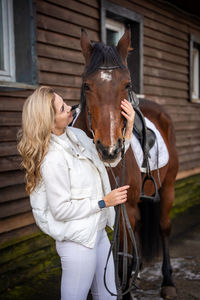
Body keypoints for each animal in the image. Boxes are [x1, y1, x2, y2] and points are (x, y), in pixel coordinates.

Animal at [73, 28, 178, 300]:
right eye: (86, 85)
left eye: (127, 85)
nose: (109, 150)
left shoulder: (124, 208)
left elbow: (122, 253)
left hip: (167, 188)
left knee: (163, 228)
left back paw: (167, 281)